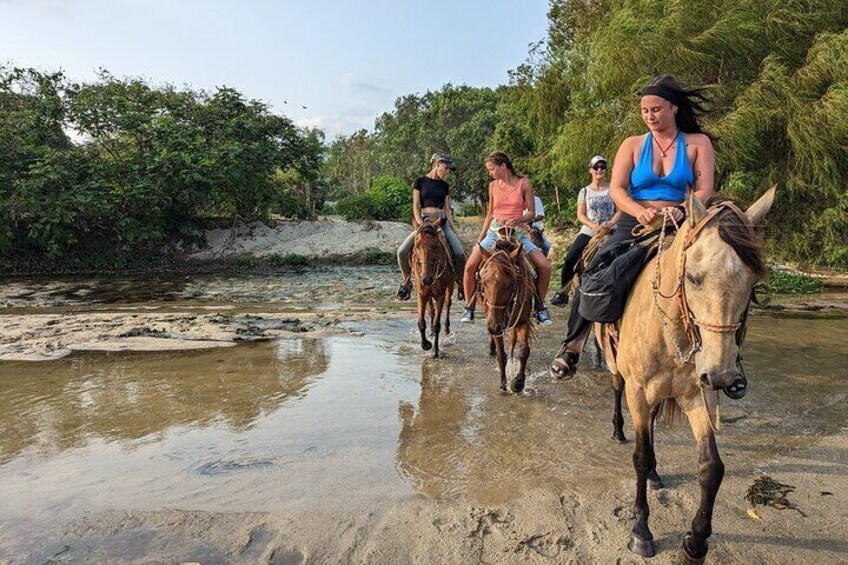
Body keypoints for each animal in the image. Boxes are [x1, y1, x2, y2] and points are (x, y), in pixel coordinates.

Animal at [412, 217, 458, 356]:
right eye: (417, 245)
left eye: (436, 246)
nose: (426, 279)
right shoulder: (421, 294)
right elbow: (421, 322)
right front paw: (426, 344)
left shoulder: (440, 295)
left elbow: (438, 324)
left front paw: (435, 351)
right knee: (431, 309)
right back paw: (431, 332)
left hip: (450, 285)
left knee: (448, 303)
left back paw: (447, 328)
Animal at [480, 229, 532, 392]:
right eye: (484, 282)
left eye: (510, 284)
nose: (493, 326)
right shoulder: (494, 323)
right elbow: (501, 355)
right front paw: (503, 384)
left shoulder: (523, 320)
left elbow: (524, 351)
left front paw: (518, 382)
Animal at [596, 187, 776, 560]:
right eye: (692, 276)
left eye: (752, 281)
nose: (722, 376)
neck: (670, 332)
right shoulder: (638, 392)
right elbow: (639, 456)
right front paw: (641, 530)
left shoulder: (696, 395)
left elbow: (711, 468)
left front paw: (696, 541)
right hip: (615, 366)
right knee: (618, 391)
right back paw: (619, 431)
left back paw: (654, 474)